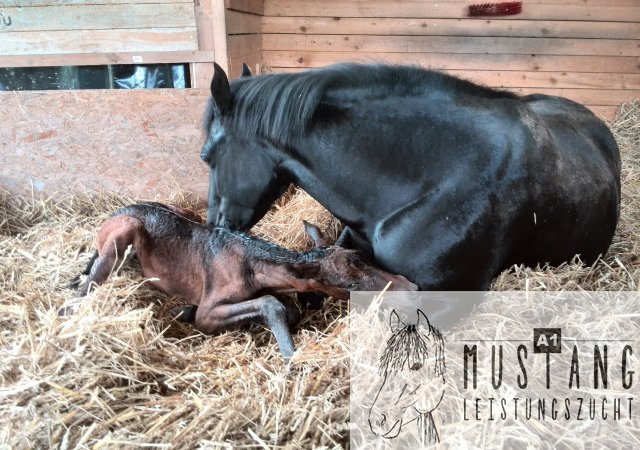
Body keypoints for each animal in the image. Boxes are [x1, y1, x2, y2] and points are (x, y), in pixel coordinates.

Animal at [60, 202, 416, 356]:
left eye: (362, 256)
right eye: (350, 286)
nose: (410, 286)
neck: (252, 266)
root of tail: (114, 214)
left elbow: (288, 307)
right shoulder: (210, 310)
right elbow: (273, 305)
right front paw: (290, 353)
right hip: (123, 232)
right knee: (93, 276)